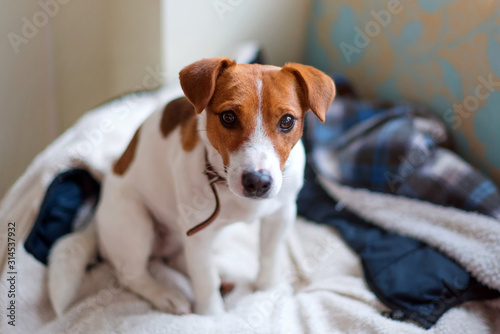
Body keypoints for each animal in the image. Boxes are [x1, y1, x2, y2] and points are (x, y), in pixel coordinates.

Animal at [47, 57, 336, 316]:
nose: (257, 182)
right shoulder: (199, 234)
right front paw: (212, 317)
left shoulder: (280, 216)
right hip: (134, 222)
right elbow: (204, 280)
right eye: (228, 117)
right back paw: (165, 294)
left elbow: (269, 257)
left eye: (287, 121)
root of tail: (96, 219)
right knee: (134, 275)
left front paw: (267, 290)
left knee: (178, 259)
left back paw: (221, 277)